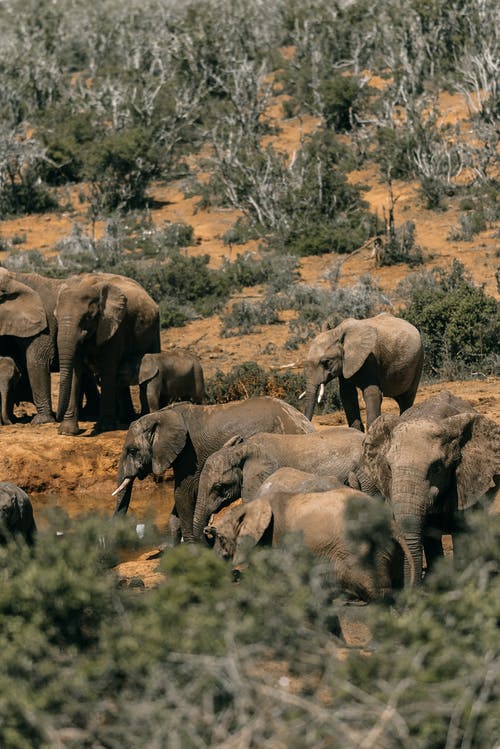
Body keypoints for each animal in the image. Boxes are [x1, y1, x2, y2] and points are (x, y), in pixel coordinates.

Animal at [53, 270, 158, 432]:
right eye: (56, 318)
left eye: (87, 317)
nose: (56, 418)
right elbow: (75, 370)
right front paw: (67, 432)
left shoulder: (114, 326)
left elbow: (108, 367)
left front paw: (106, 427)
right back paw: (125, 419)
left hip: (154, 329)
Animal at [114, 398, 316, 544]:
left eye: (132, 450)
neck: (163, 414)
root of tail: (306, 424)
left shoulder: (190, 454)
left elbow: (183, 494)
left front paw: (191, 547)